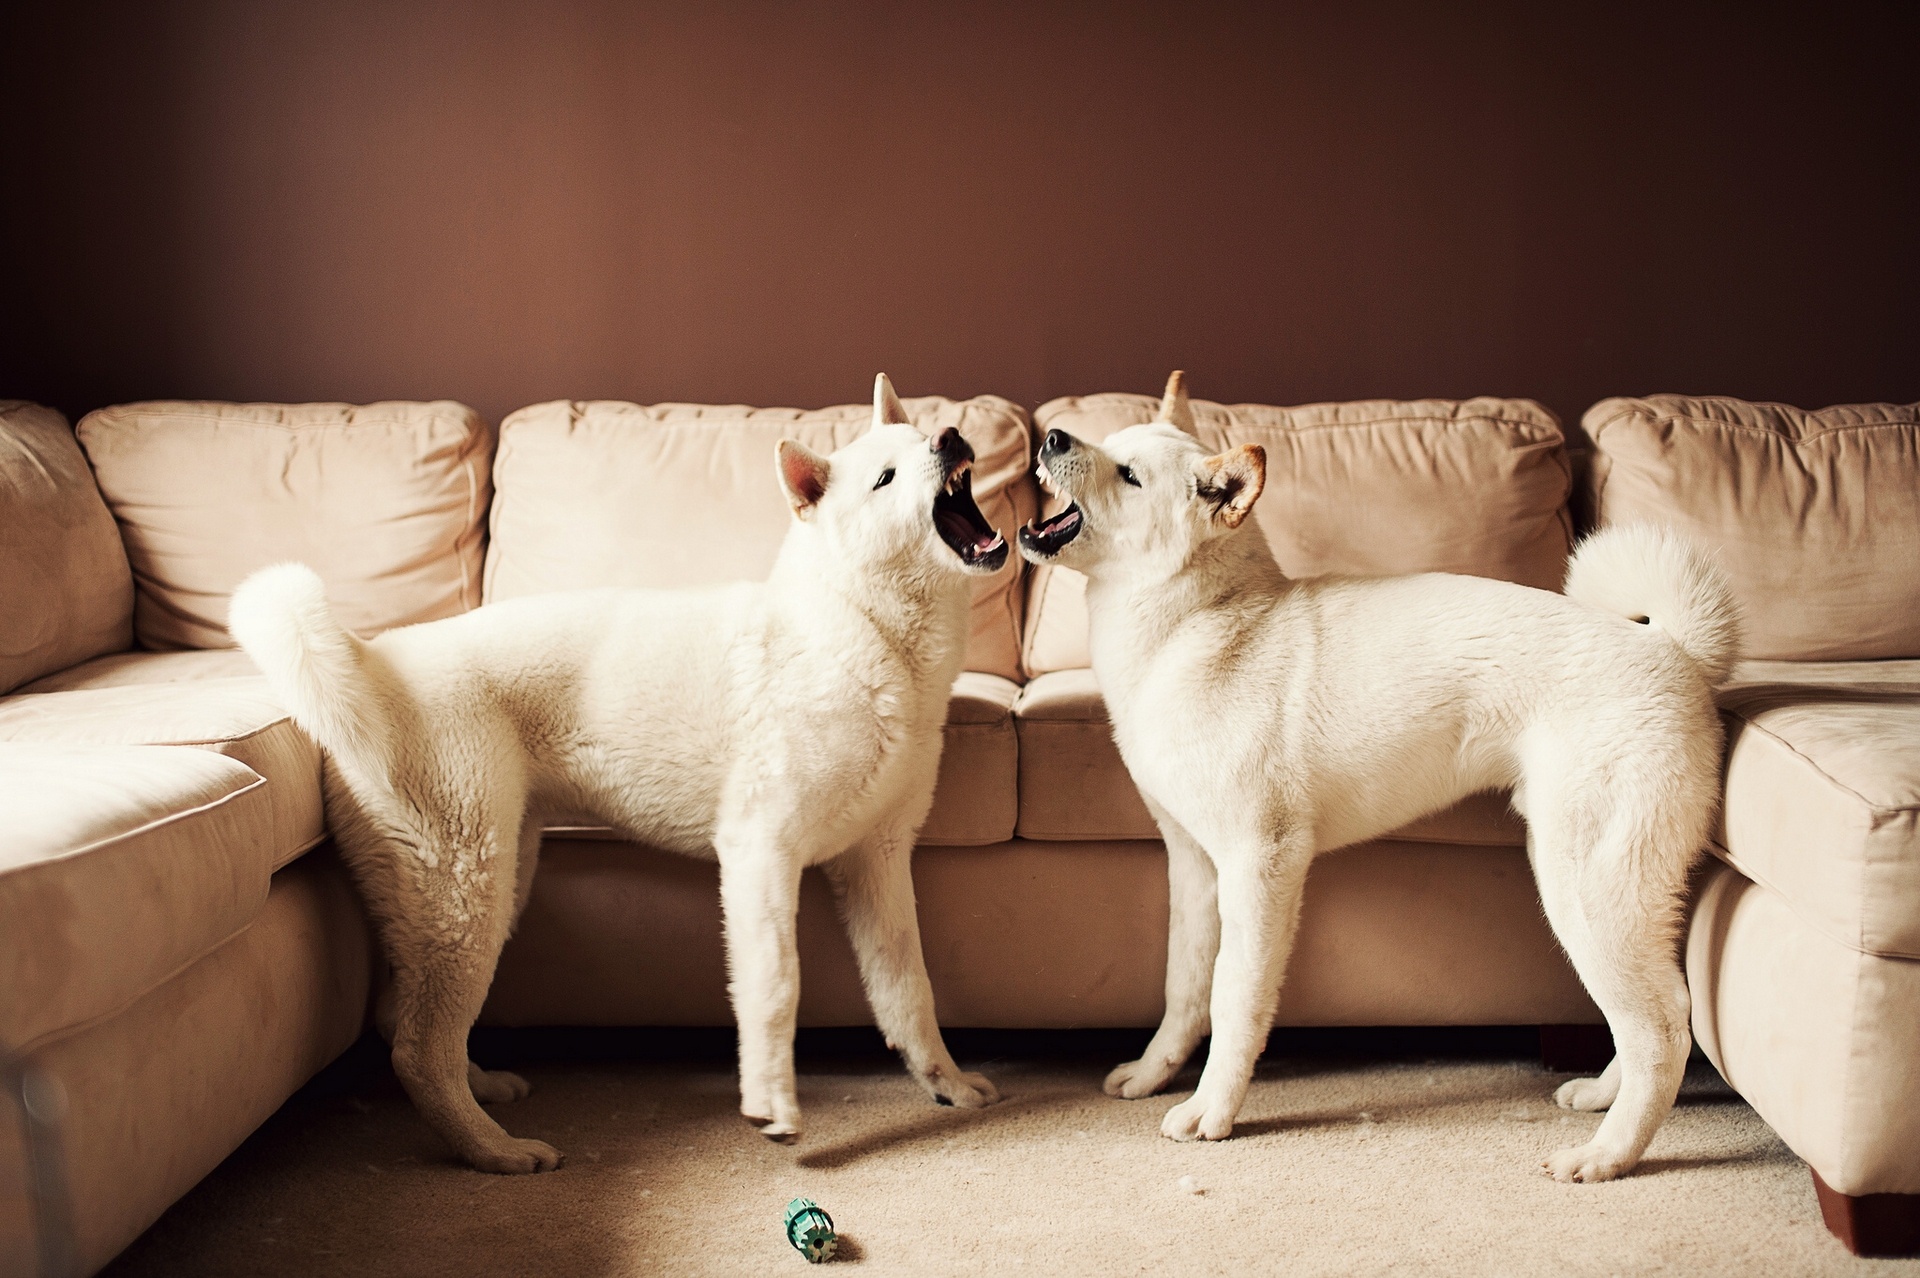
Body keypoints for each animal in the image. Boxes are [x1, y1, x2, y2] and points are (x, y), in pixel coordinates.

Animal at [232, 374, 1013, 1166]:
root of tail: (371, 660)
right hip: (465, 893)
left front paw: (945, 1085)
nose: (950, 437)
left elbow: (908, 991)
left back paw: (483, 1095)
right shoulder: (760, 854)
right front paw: (773, 1107)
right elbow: (775, 990)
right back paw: (495, 1152)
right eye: (885, 478)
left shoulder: (877, 861)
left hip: (478, 889)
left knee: (406, 1025)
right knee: (420, 1049)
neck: (862, 628)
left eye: (922, 439)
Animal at [1021, 374, 1743, 1182]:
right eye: (1110, 445)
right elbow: (1184, 989)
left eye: (1129, 475)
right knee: (1661, 1010)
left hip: (1584, 887)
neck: (1200, 626)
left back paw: (1607, 1156)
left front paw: (1214, 1113)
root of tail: (1676, 651)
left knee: (1662, 1026)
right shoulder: (1195, 867)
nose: (1051, 437)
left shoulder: (1261, 866)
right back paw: (1601, 1101)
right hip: (1607, 892)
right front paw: (1153, 1075)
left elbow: (1235, 1002)